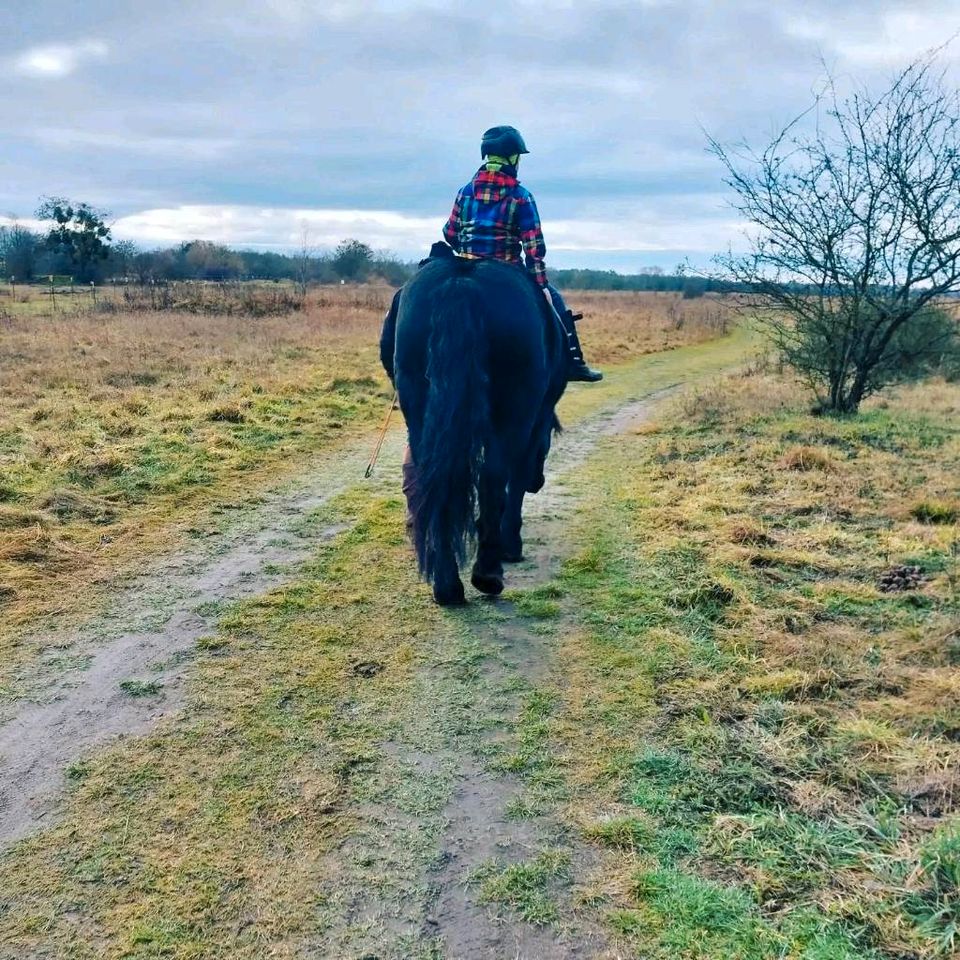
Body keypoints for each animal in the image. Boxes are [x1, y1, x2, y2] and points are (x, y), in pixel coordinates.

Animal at [378, 255, 568, 600]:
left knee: (431, 477)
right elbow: (514, 480)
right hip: (515, 410)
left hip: (418, 405)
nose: (539, 483)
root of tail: (461, 281)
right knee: (494, 477)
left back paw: (446, 584)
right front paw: (511, 544)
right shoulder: (536, 419)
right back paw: (488, 573)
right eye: (549, 440)